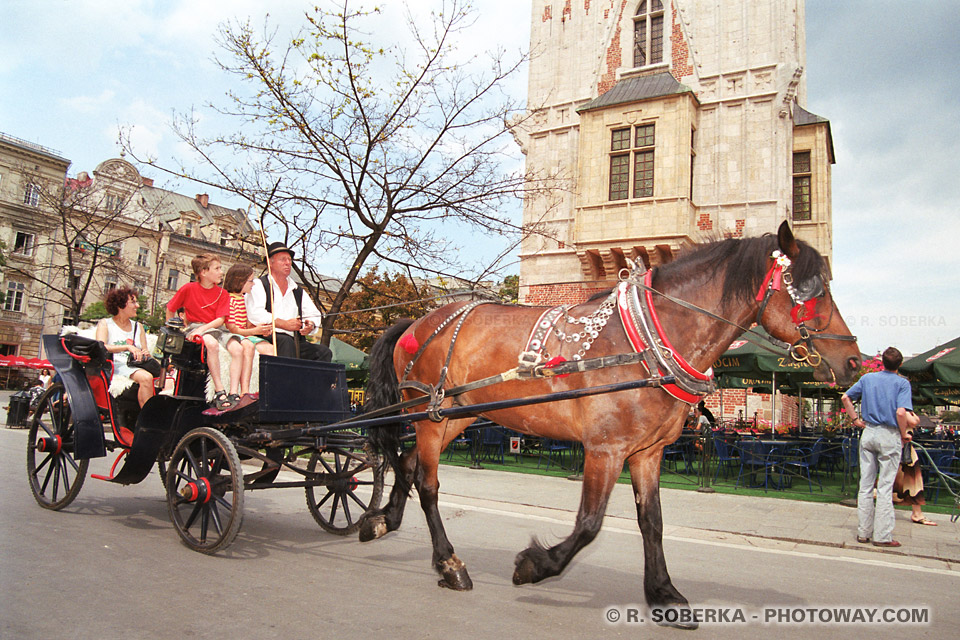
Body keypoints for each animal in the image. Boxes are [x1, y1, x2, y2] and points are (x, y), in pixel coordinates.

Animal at [358, 221, 856, 624]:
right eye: (811, 290)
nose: (852, 360)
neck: (648, 341)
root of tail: (416, 322)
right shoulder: (605, 450)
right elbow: (589, 523)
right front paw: (534, 566)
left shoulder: (647, 452)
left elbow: (651, 520)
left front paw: (663, 593)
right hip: (430, 416)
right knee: (428, 484)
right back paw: (449, 564)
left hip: (453, 418)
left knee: (407, 464)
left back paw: (382, 521)